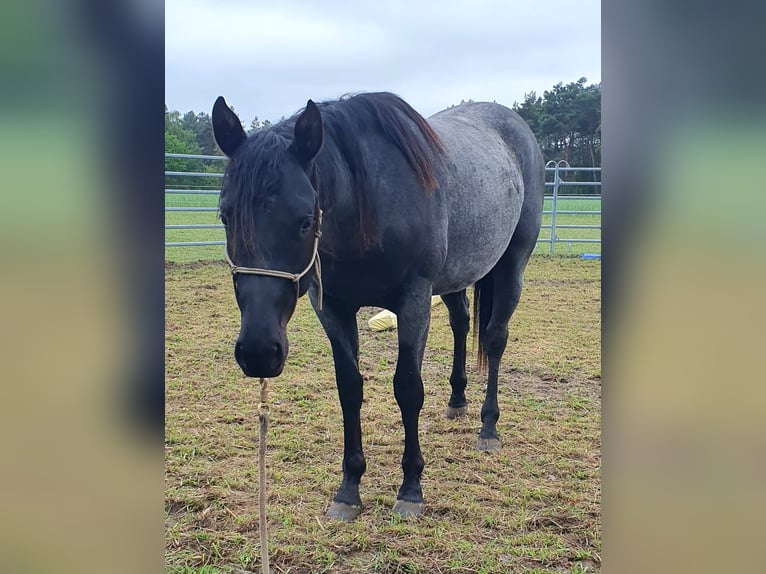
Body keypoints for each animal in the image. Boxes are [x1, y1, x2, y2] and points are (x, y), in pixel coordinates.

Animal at [211, 92, 544, 521]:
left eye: (305, 220)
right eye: (226, 216)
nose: (258, 352)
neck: (368, 203)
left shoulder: (414, 301)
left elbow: (408, 388)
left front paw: (411, 487)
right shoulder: (332, 307)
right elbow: (349, 388)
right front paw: (349, 489)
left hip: (512, 265)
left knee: (494, 338)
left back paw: (488, 427)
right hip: (455, 276)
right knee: (460, 322)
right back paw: (457, 401)